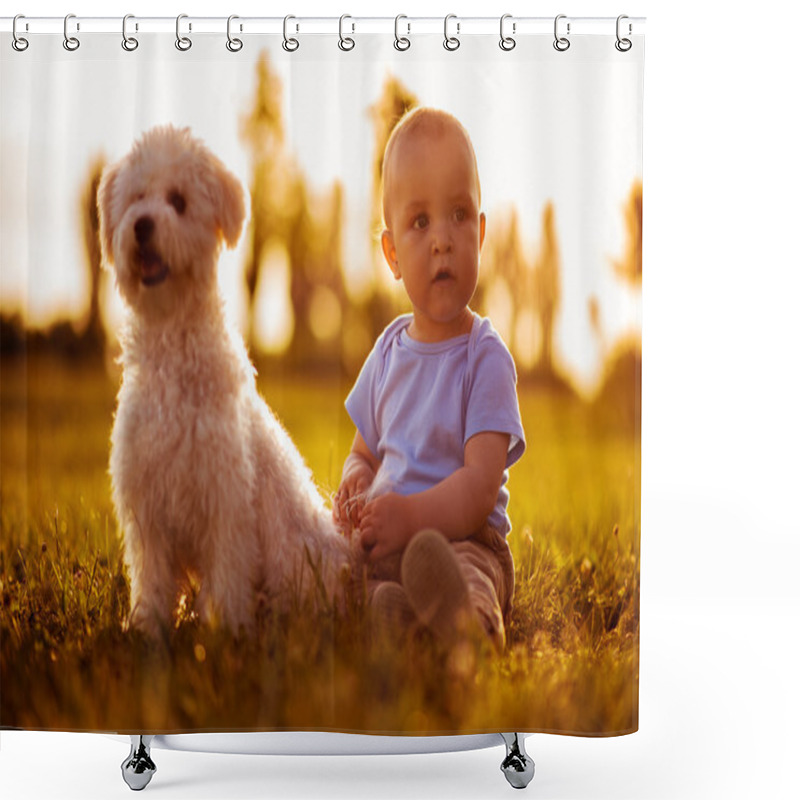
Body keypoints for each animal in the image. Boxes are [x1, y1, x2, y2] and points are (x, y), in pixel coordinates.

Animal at [98, 125, 348, 636]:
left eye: (178, 201)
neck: (172, 343)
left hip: (295, 559)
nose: (141, 225)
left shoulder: (226, 501)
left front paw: (228, 632)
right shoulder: (148, 509)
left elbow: (229, 575)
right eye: (137, 197)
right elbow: (153, 579)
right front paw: (147, 627)